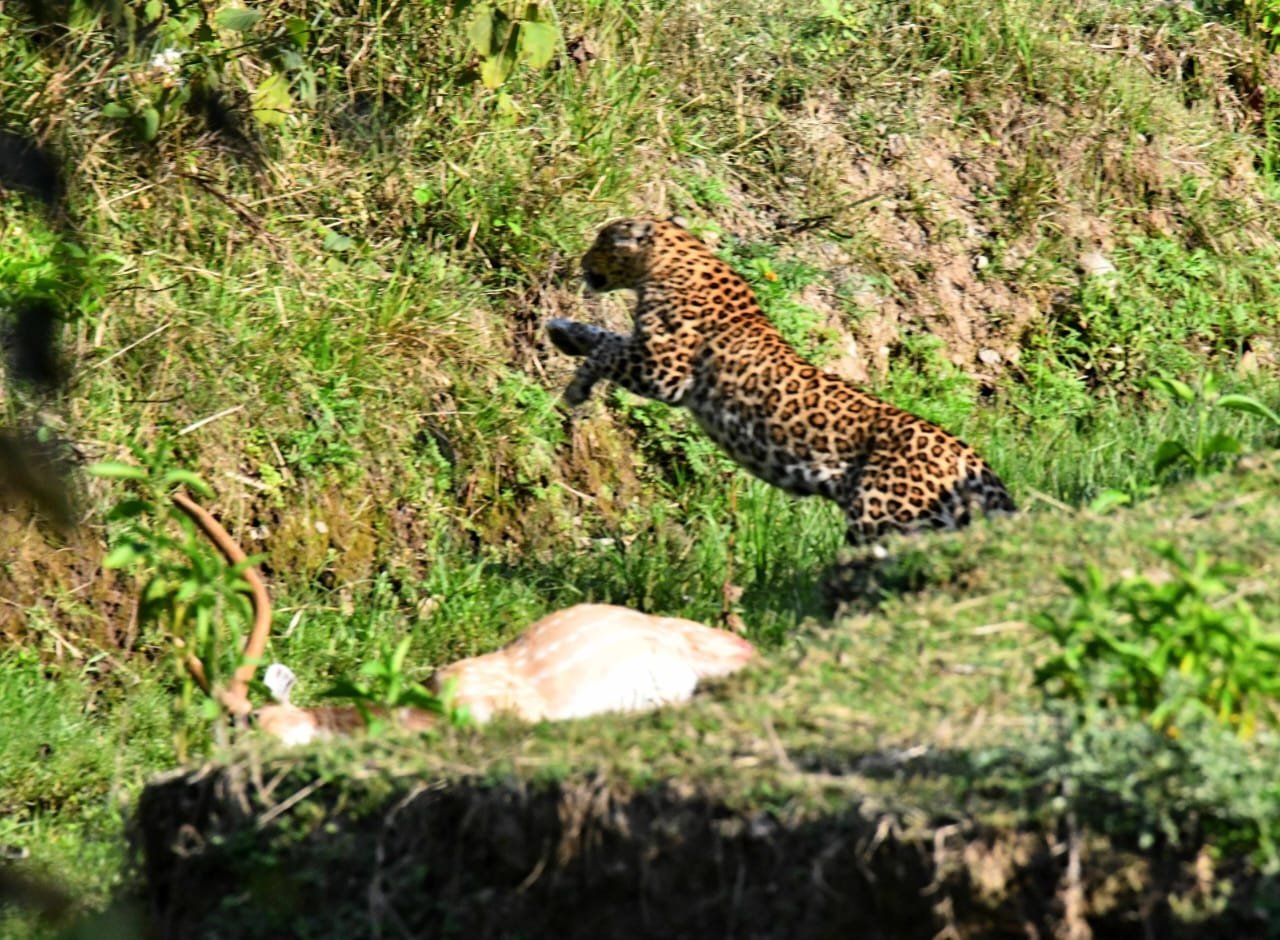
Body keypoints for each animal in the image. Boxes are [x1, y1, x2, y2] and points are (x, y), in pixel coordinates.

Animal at [547, 217, 1016, 546]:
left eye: (601, 242)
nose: (581, 264)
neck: (672, 260)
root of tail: (976, 465)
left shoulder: (664, 371)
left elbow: (608, 348)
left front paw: (576, 386)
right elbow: (603, 336)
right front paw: (563, 332)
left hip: (883, 518)